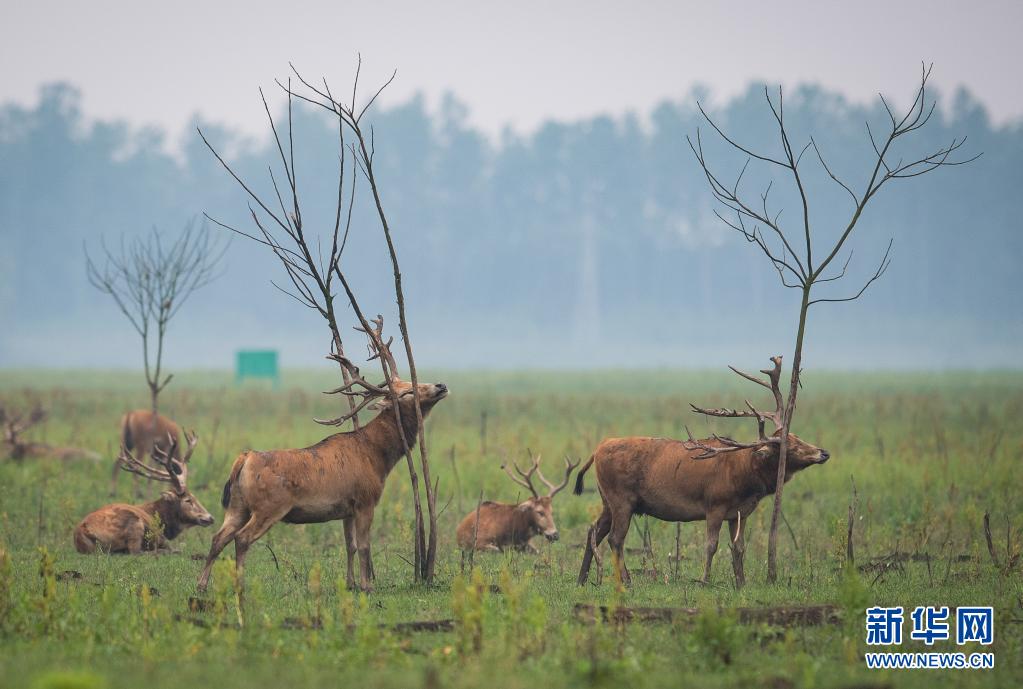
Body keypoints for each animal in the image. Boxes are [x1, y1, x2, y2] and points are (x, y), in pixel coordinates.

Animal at [74, 431, 214, 556]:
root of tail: (83, 531)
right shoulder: (161, 537)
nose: (210, 517)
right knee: (136, 552)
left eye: (195, 497)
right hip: (134, 523)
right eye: (188, 500)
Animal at [197, 318, 446, 592]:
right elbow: (364, 546)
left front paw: (350, 583)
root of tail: (244, 459)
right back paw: (240, 586)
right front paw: (367, 586)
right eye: (406, 393)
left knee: (218, 538)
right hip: (269, 506)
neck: (378, 456)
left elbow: (350, 546)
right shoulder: (365, 499)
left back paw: (202, 585)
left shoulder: (347, 508)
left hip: (237, 505)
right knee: (241, 539)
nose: (441, 385)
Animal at [576, 357, 830, 588]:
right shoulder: (714, 504)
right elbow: (711, 545)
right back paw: (626, 581)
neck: (745, 478)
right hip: (621, 498)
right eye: (791, 446)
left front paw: (741, 583)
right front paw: (704, 581)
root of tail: (597, 450)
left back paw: (583, 579)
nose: (823, 452)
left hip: (607, 500)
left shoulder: (740, 513)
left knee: (593, 530)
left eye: (798, 437)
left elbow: (739, 547)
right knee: (615, 538)